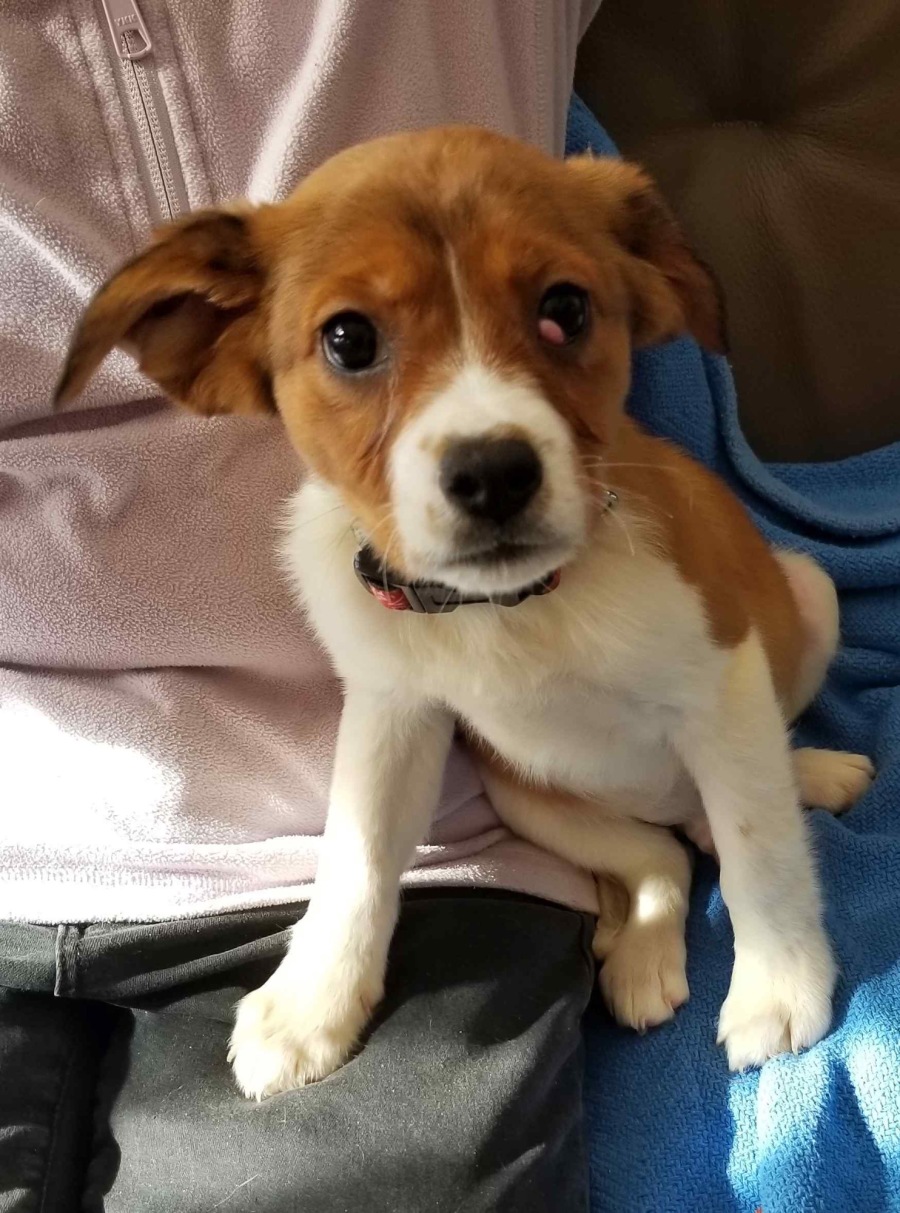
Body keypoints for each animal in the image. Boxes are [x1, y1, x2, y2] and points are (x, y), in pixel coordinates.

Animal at [57, 126, 874, 1100]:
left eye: (565, 307)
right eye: (349, 339)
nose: (493, 473)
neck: (506, 611)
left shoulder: (724, 680)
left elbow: (762, 852)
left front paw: (778, 986)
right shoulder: (392, 713)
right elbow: (356, 857)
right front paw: (310, 1004)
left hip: (806, 595)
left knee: (734, 814)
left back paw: (814, 773)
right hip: (527, 796)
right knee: (665, 857)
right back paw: (641, 949)